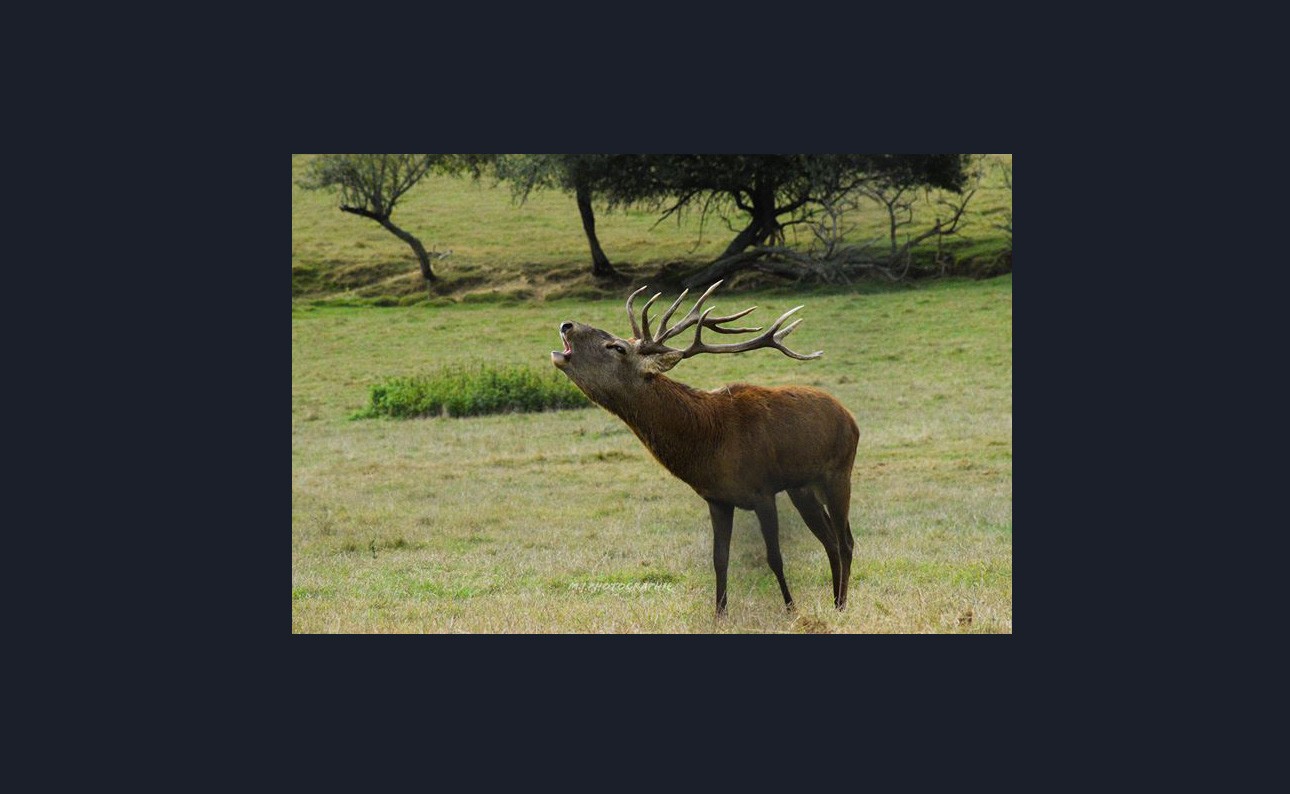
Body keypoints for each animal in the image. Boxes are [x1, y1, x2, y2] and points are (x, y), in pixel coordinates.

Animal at [551, 280, 859, 615]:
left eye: (618, 347)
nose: (567, 324)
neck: (710, 442)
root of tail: (849, 416)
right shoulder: (717, 499)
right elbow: (719, 560)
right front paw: (719, 615)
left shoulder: (763, 490)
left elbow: (774, 558)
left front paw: (791, 609)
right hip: (802, 487)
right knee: (829, 539)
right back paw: (835, 601)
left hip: (838, 472)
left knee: (845, 541)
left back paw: (842, 605)